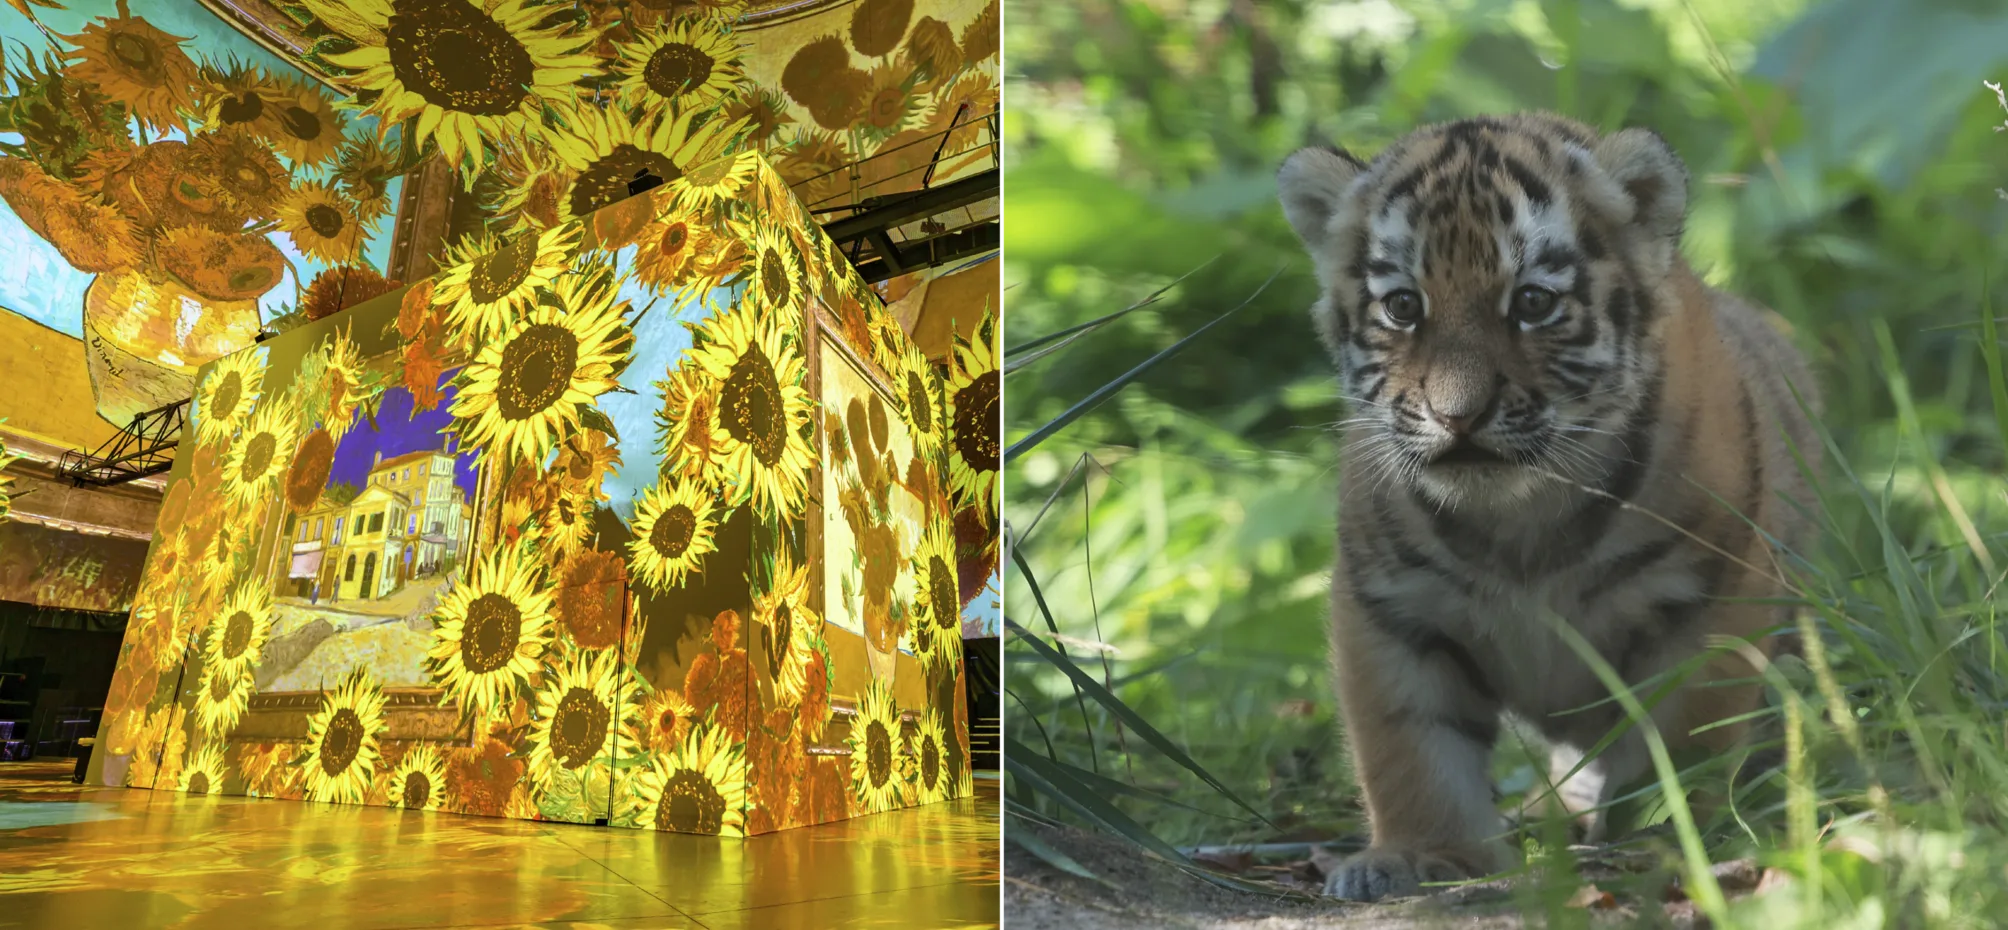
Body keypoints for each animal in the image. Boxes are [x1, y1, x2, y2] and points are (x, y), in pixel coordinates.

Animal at [1272, 112, 1822, 902]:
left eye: (1533, 302)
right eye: (1403, 306)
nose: (1457, 415)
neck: (1518, 517)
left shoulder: (1713, 594)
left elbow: (1686, 733)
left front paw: (1668, 832)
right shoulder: (1390, 609)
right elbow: (1409, 747)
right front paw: (1419, 854)